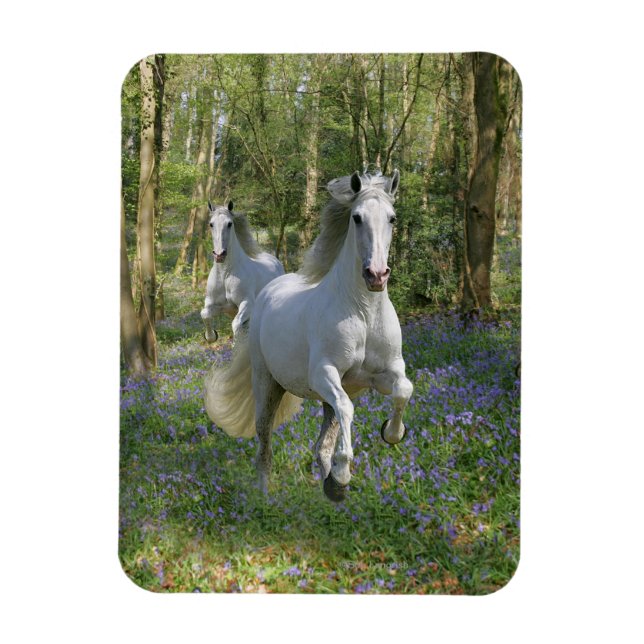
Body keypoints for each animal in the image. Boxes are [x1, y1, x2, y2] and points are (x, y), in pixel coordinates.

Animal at [200, 201, 284, 341]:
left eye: (229, 223)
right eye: (211, 224)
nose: (219, 255)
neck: (225, 275)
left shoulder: (247, 303)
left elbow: (236, 325)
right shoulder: (214, 304)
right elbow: (204, 314)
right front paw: (211, 336)